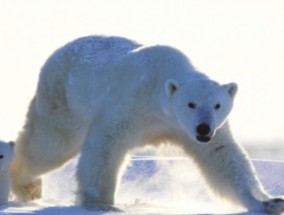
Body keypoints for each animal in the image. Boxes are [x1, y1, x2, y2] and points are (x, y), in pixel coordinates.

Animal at [10, 35, 284, 213]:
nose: (204, 129)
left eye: (217, 105)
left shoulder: (191, 128)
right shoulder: (131, 104)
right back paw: (26, 186)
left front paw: (268, 202)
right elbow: (105, 145)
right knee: (50, 143)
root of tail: (59, 51)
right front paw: (101, 203)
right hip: (64, 100)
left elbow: (222, 156)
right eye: (191, 104)